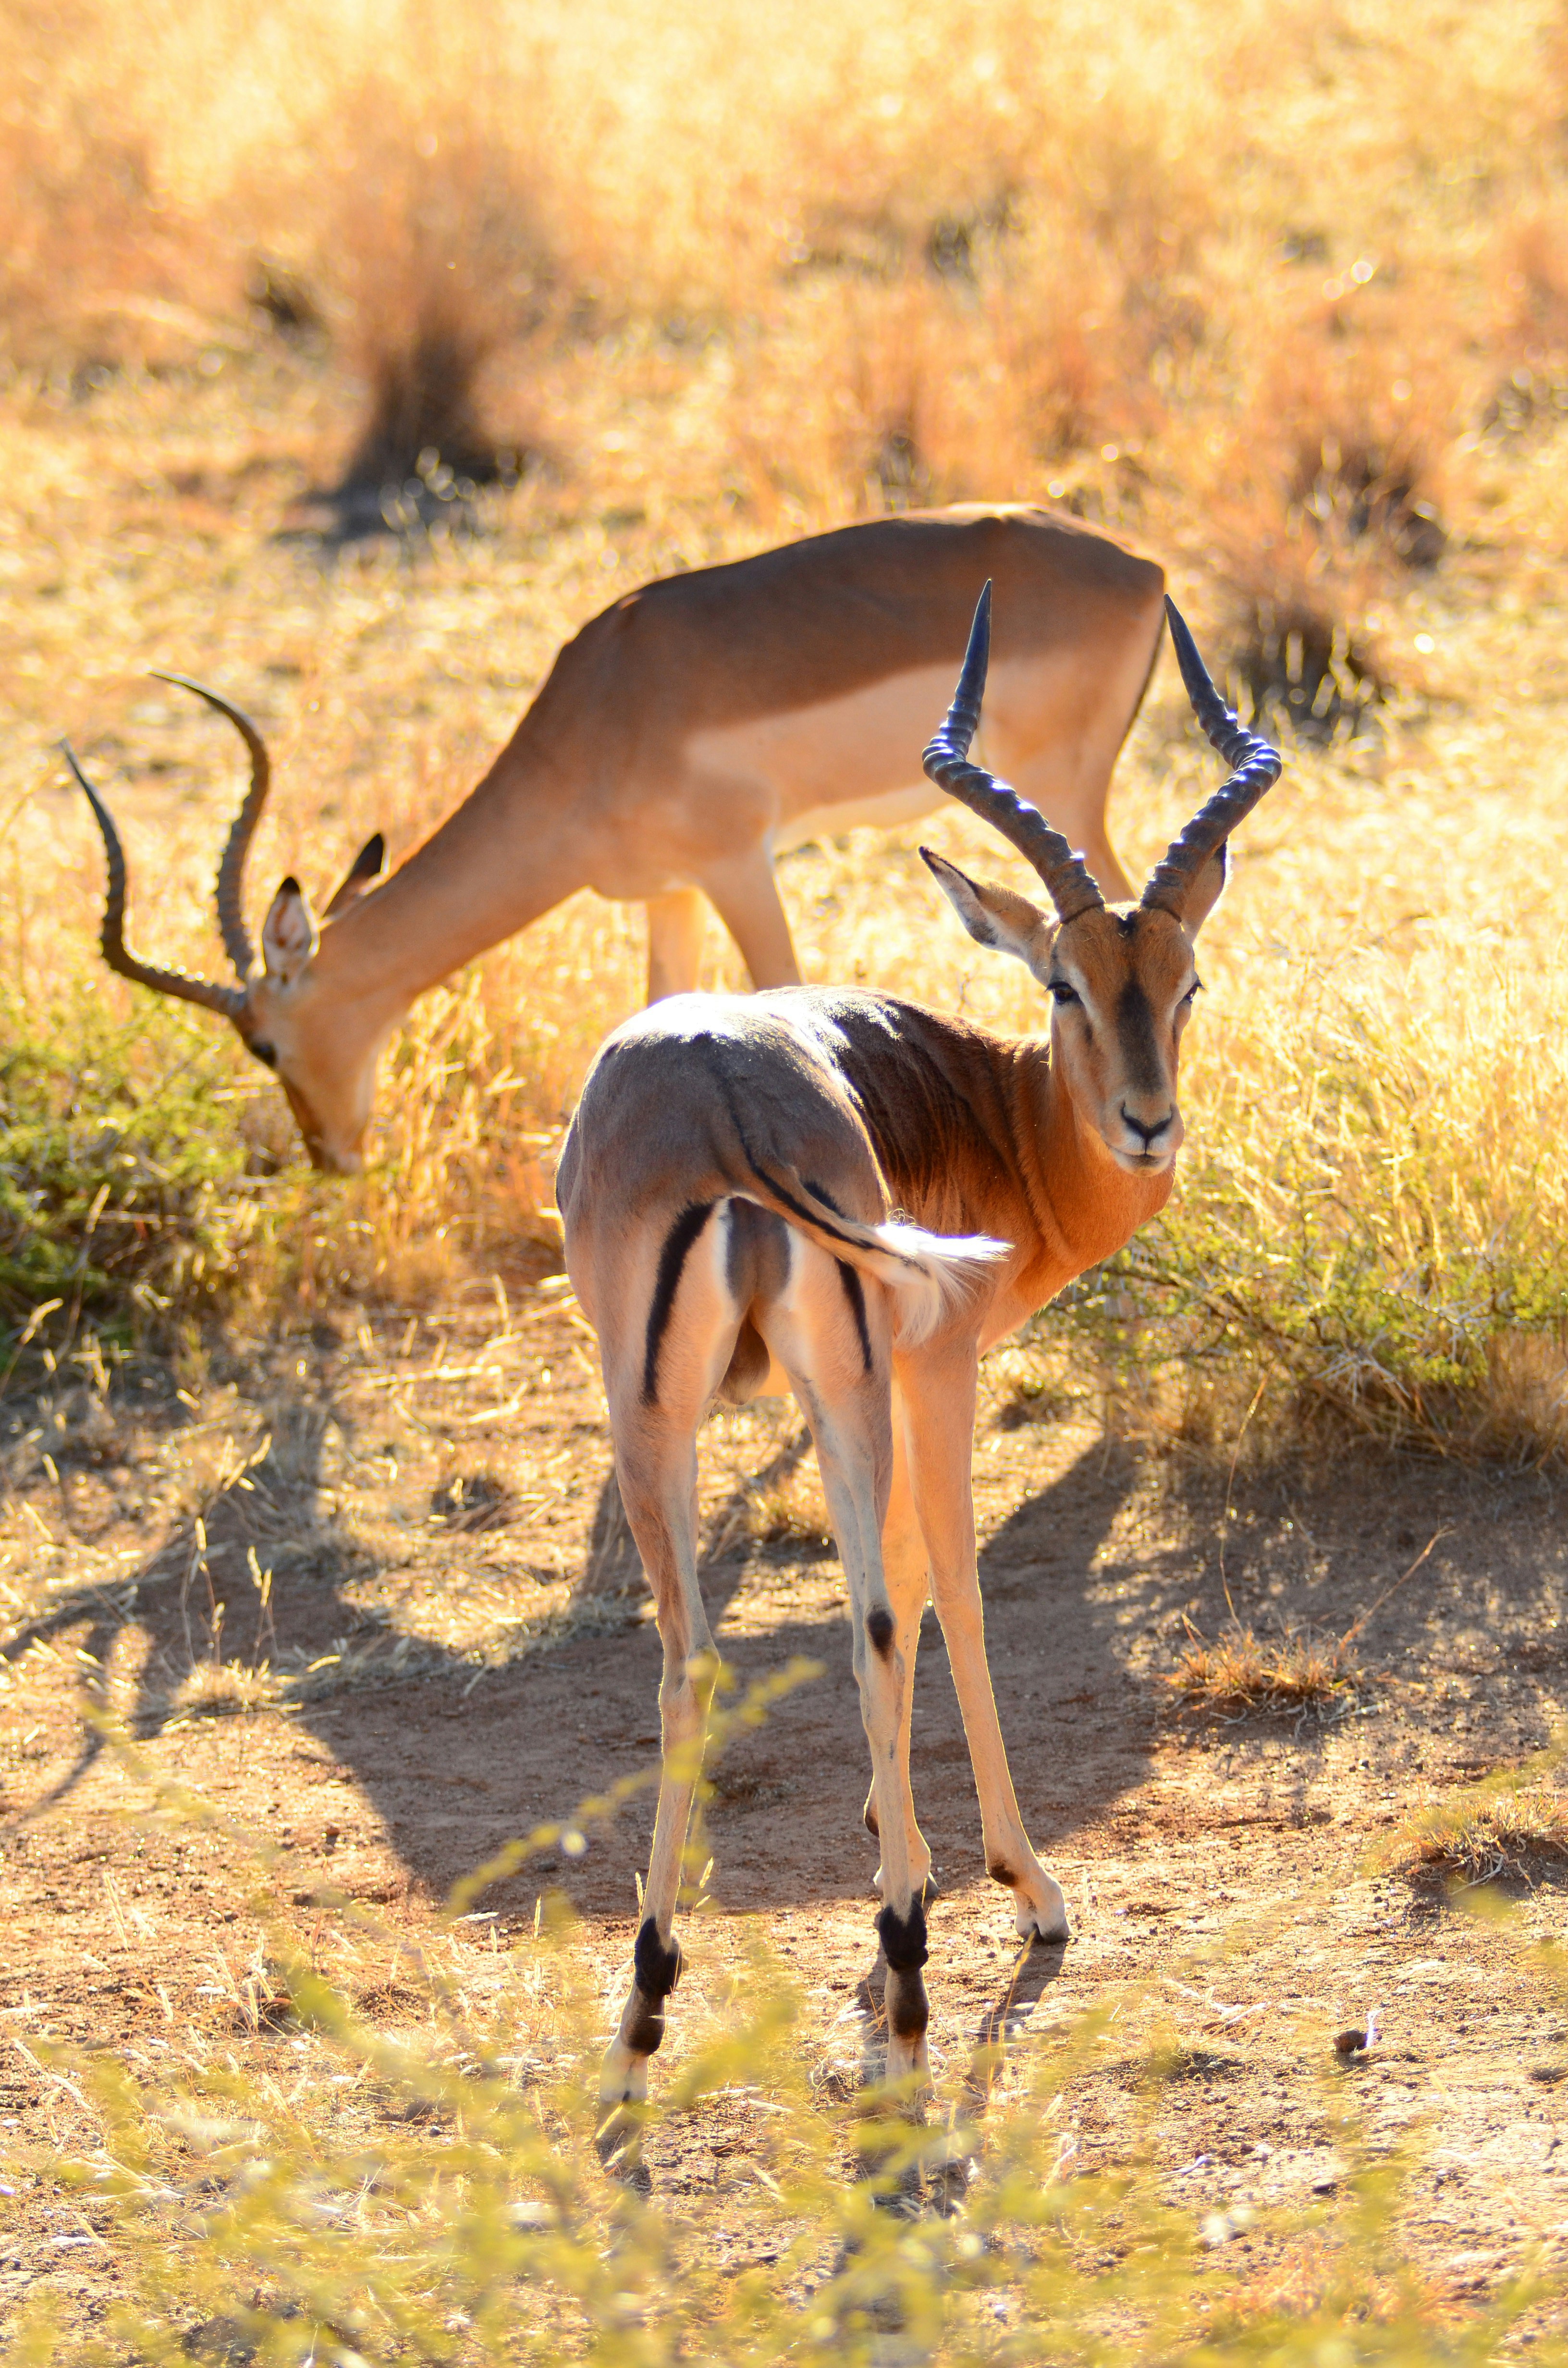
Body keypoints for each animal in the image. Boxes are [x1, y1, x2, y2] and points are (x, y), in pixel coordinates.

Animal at [63, 506, 1164, 1172]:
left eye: (263, 1042)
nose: (330, 1157)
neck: (602, 715)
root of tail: (1141, 568)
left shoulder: (737, 864)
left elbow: (781, 993)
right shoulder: (666, 891)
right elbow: (657, 1011)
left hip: (1064, 802)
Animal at [555, 585, 1280, 2135]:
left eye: (1185, 981)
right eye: (1064, 981)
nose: (1146, 1124)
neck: (995, 1113)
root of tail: (725, 1111)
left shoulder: (869, 1383)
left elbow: (889, 1591)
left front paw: (902, 1859)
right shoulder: (942, 1365)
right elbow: (959, 1585)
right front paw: (1011, 1884)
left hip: (674, 1414)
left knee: (710, 1651)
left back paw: (656, 2011)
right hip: (840, 1392)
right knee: (887, 1615)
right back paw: (905, 1993)